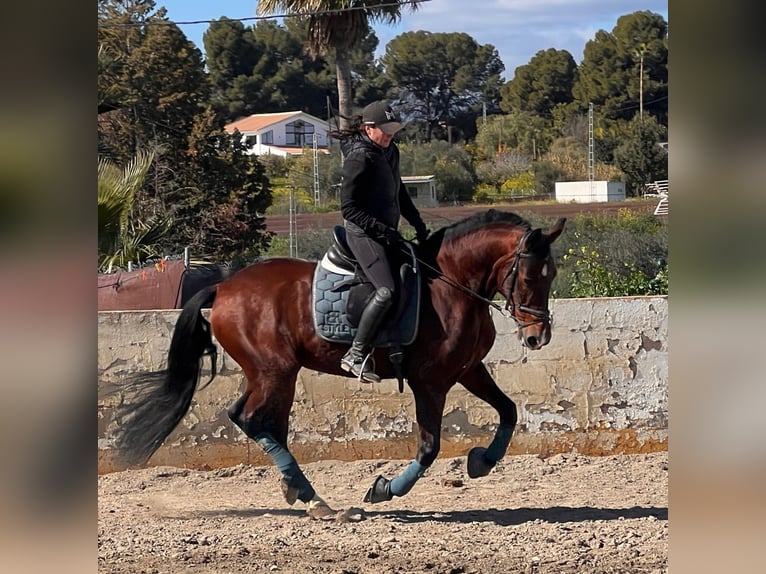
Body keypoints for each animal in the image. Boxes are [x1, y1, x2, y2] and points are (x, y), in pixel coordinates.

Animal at [115, 209, 568, 520]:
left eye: (552, 276)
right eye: (529, 277)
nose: (537, 337)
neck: (451, 285)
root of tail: (224, 287)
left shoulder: (469, 370)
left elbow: (509, 411)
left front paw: (481, 461)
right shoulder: (431, 381)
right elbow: (429, 447)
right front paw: (383, 489)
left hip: (274, 373)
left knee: (260, 420)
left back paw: (297, 489)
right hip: (273, 370)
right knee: (251, 418)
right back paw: (314, 498)